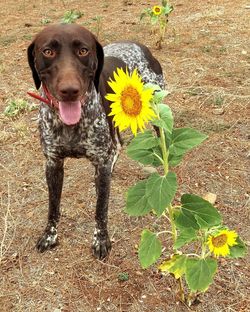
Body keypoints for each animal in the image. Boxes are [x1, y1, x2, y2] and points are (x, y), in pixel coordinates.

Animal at [27, 23, 165, 258]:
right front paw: (49, 235)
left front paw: (101, 240)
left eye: (83, 50)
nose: (70, 91)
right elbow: (53, 206)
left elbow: (101, 208)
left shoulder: (100, 163)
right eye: (48, 51)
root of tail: (140, 46)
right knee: (118, 144)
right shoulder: (53, 163)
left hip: (154, 107)